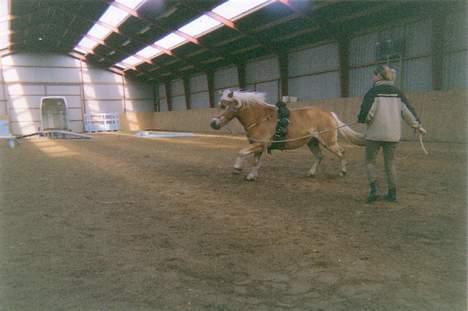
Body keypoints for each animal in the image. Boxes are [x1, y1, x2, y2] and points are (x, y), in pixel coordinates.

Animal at [208, 90, 366, 182]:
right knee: (319, 156)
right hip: (312, 142)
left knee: (341, 153)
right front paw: (251, 176)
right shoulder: (257, 145)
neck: (260, 118)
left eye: (223, 106)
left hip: (329, 141)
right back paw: (311, 173)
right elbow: (256, 162)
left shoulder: (260, 144)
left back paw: (343, 172)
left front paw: (237, 169)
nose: (213, 123)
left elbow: (241, 152)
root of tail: (329, 114)